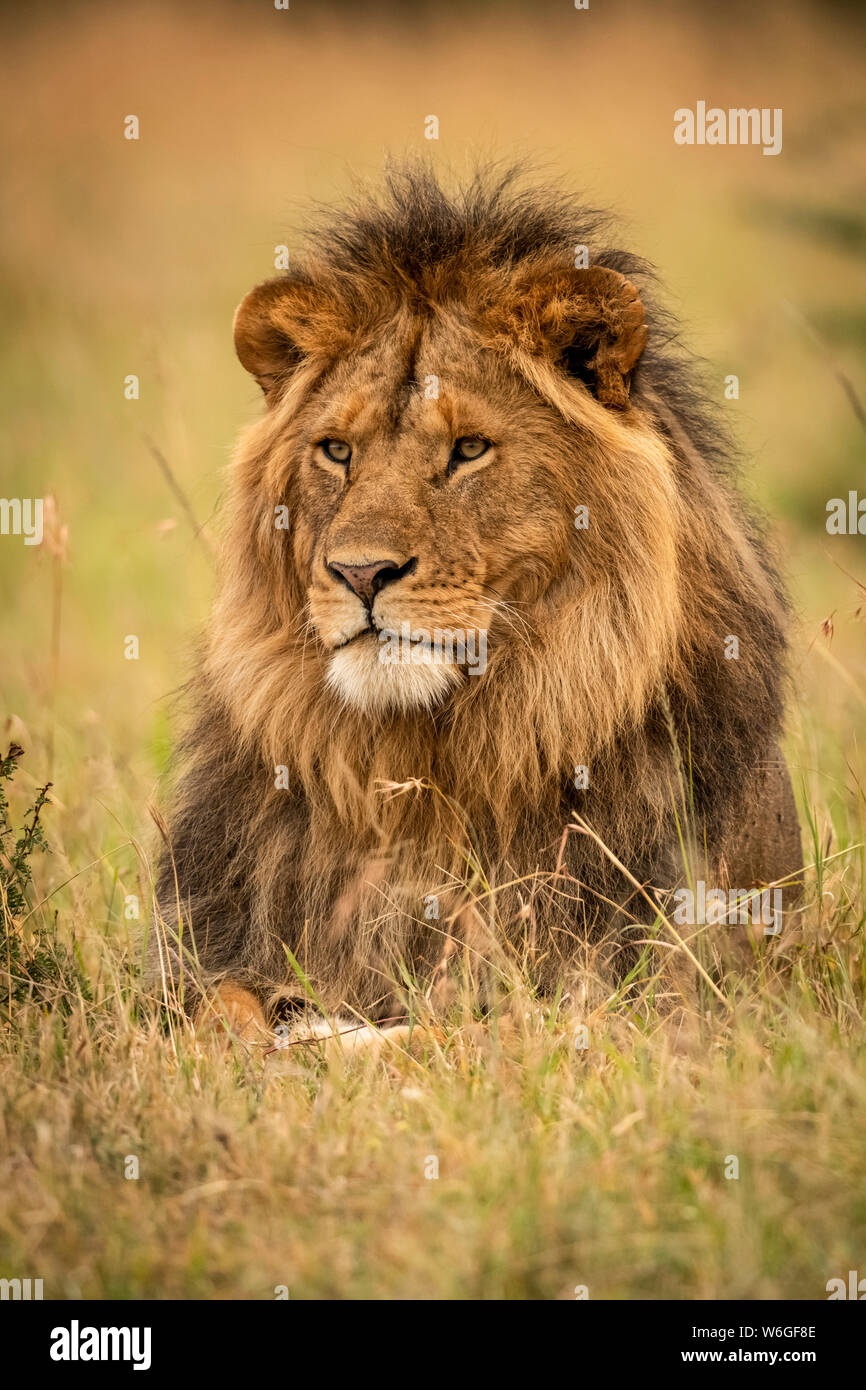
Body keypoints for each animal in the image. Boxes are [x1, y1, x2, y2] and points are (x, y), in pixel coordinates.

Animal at [150, 165, 806, 1050]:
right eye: (336, 450)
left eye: (468, 449)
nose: (359, 571)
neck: (430, 768)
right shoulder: (209, 944)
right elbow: (215, 1013)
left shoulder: (646, 993)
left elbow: (454, 1033)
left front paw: (329, 1038)